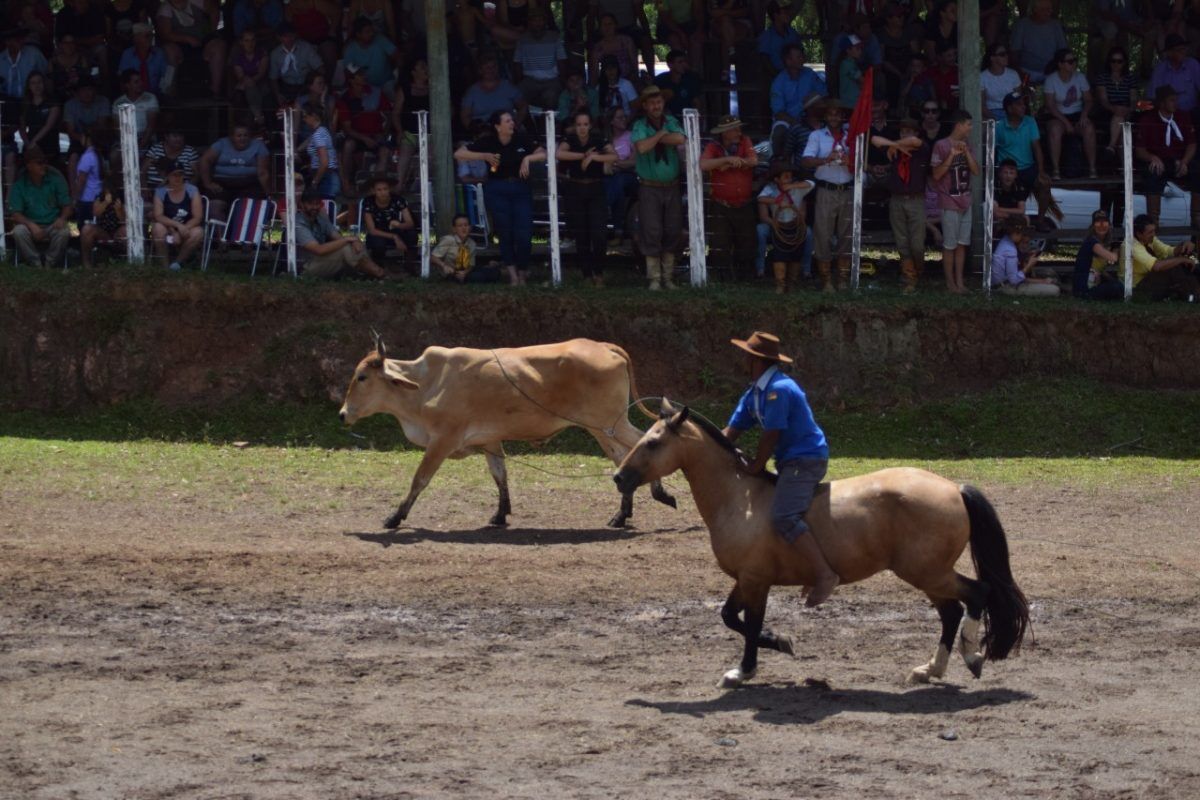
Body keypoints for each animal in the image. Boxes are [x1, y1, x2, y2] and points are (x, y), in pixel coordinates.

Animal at [614, 400, 1027, 690]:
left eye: (653, 442)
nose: (619, 477)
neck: (740, 498)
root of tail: (954, 488)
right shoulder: (744, 579)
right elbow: (731, 617)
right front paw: (778, 642)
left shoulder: (756, 580)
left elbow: (749, 623)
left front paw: (745, 669)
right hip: (928, 574)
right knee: (951, 612)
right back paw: (929, 670)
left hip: (927, 572)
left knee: (977, 594)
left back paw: (971, 657)